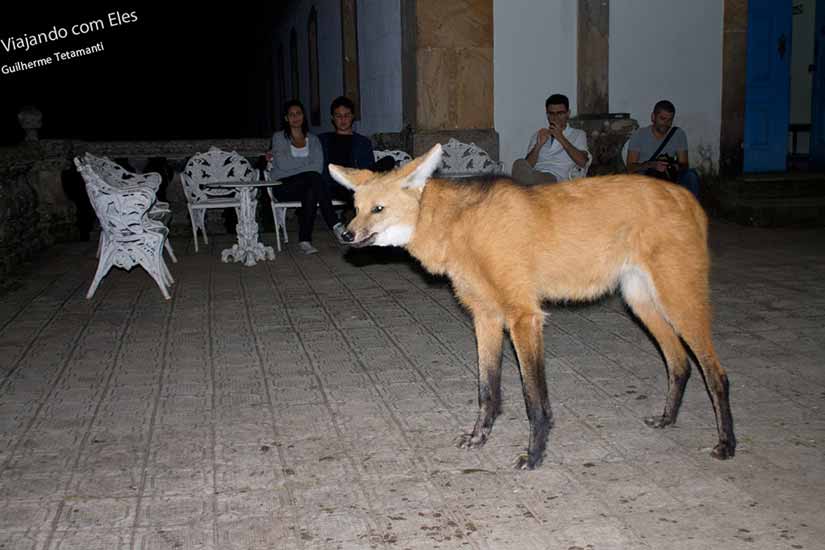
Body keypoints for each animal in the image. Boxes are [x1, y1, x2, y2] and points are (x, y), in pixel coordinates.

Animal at [328, 143, 732, 470]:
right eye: (355, 208)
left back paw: (726, 444)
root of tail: (686, 196)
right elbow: (487, 389)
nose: (345, 234)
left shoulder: (523, 316)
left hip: (679, 301)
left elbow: (532, 398)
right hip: (641, 302)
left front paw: (534, 456)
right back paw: (668, 420)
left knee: (716, 373)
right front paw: (479, 438)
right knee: (680, 363)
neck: (460, 227)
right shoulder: (486, 316)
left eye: (379, 209)